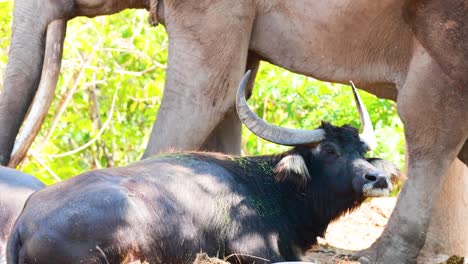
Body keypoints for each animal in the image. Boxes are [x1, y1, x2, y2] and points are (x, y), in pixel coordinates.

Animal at [5, 75, 398, 264]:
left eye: (363, 150)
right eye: (329, 150)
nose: (377, 178)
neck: (270, 189)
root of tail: (25, 222)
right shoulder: (252, 253)